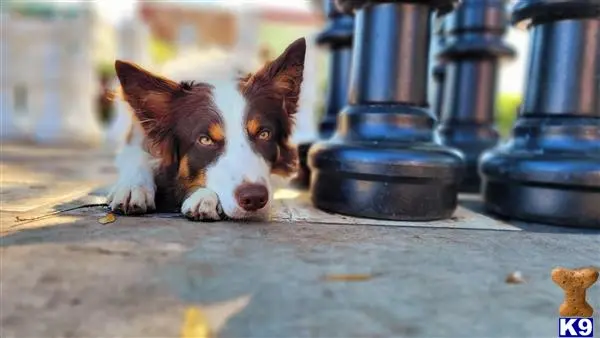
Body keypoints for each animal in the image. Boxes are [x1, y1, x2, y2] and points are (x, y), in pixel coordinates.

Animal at [106, 37, 308, 222]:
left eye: (264, 134)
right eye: (205, 140)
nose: (255, 198)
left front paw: (203, 196)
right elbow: (137, 157)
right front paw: (132, 187)